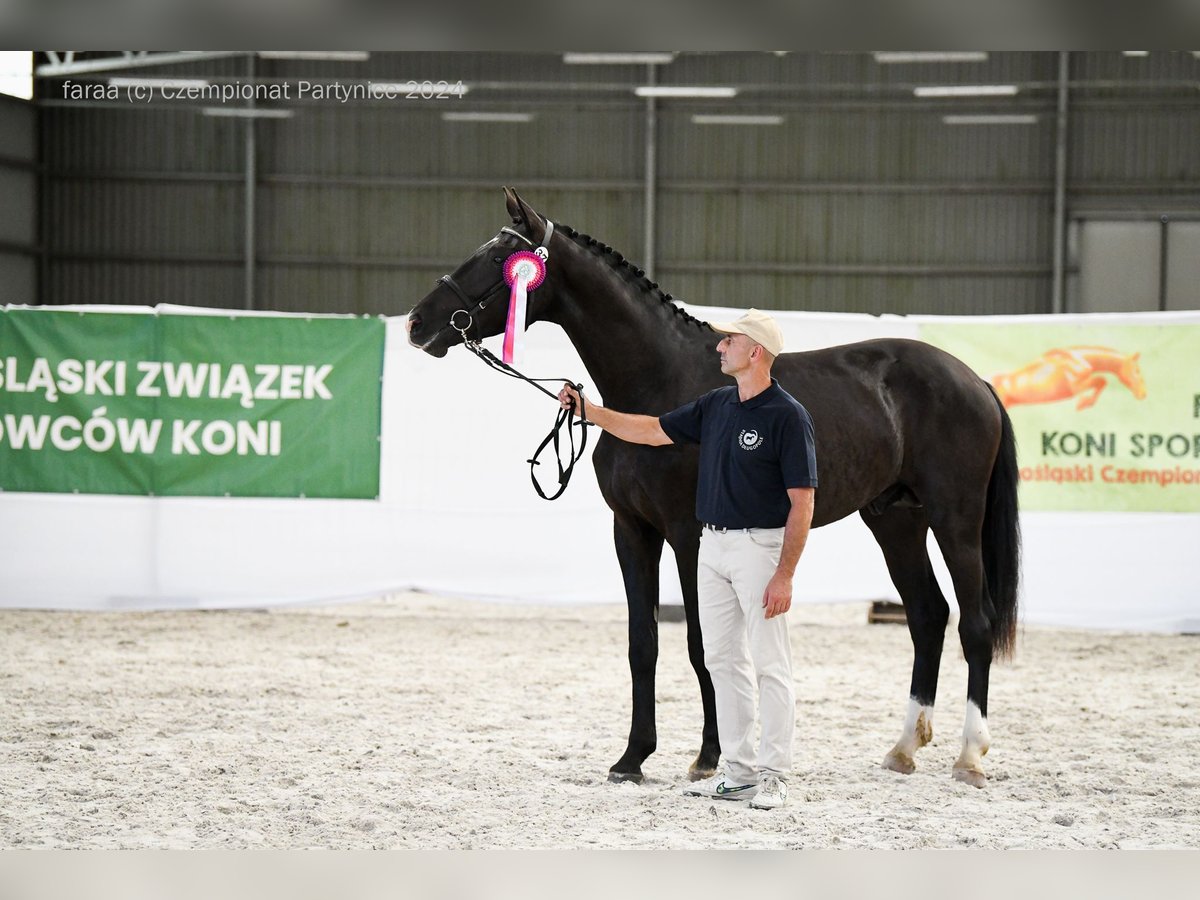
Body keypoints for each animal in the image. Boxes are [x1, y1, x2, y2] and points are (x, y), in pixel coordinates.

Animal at [408, 190, 1017, 787]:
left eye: (496, 257)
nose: (417, 323)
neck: (657, 380)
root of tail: (974, 380)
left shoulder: (688, 534)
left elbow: (704, 644)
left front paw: (708, 756)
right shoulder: (632, 531)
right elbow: (643, 643)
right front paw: (632, 758)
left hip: (955, 519)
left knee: (975, 624)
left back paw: (970, 758)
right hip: (895, 520)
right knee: (928, 615)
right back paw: (903, 749)